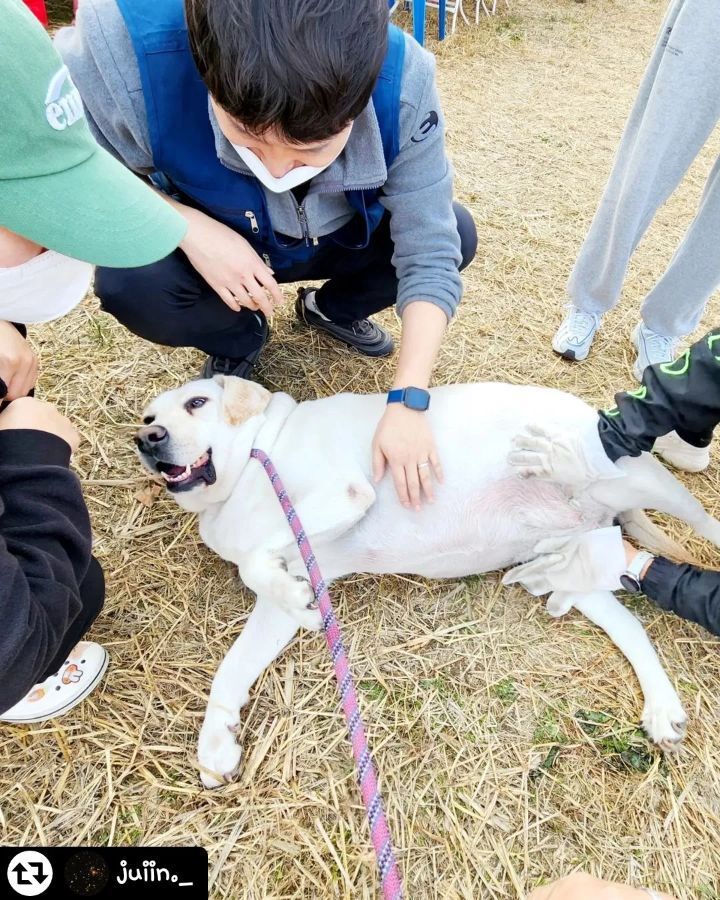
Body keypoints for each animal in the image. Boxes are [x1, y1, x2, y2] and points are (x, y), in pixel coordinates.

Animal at [136, 376, 720, 788]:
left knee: (704, 523)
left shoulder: (343, 494)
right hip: (574, 563)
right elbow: (231, 668)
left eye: (197, 403)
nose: (147, 439)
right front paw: (217, 742)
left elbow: (254, 560)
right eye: (148, 417)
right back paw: (662, 708)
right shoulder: (286, 583)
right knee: (631, 627)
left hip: (645, 481)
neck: (244, 473)